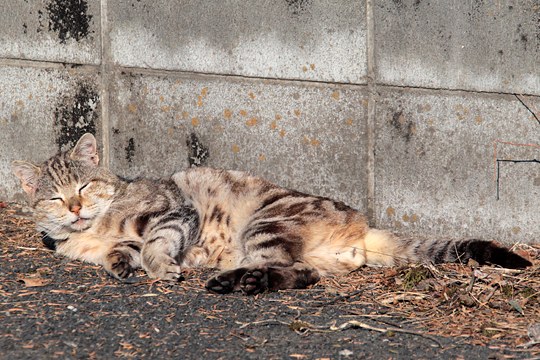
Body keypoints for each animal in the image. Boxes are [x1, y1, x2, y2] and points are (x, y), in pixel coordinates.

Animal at [11, 134, 532, 294]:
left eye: (83, 187)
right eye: (55, 198)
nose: (76, 207)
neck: (94, 231)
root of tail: (363, 226)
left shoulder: (173, 211)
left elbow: (157, 241)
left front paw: (160, 268)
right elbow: (120, 251)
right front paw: (121, 263)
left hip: (264, 224)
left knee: (286, 267)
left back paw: (233, 281)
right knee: (303, 272)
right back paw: (238, 280)